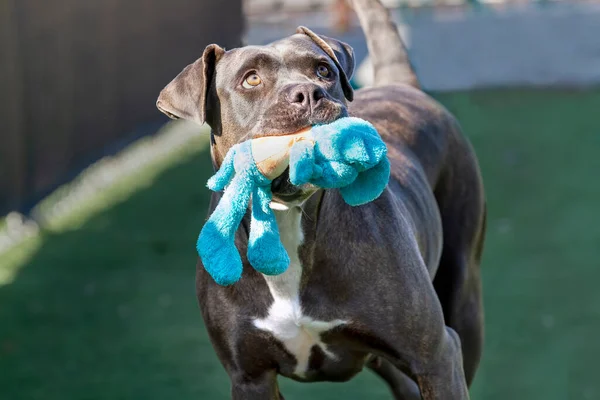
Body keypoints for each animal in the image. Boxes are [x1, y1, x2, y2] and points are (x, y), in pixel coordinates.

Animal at [157, 0, 486, 400]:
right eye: (251, 79)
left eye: (323, 70)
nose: (309, 93)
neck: (286, 218)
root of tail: (399, 84)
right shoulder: (251, 377)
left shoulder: (436, 357)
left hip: (463, 294)